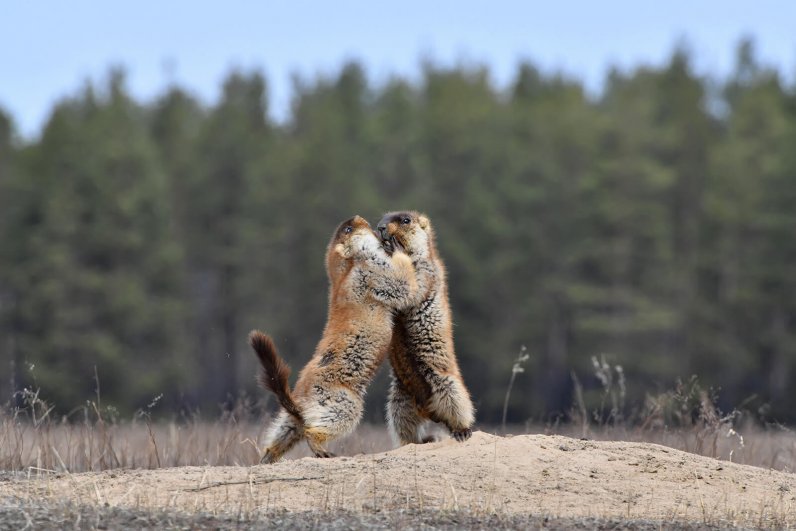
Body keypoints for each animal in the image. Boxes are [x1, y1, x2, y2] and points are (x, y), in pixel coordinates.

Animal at [252, 214, 420, 464]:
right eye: (348, 229)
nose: (357, 216)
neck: (344, 268)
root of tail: (299, 401)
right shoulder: (370, 271)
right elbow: (398, 282)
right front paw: (397, 248)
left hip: (289, 420)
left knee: (284, 433)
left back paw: (267, 457)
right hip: (343, 404)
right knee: (313, 430)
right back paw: (322, 450)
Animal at [376, 210, 476, 446]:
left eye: (405, 220)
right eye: (382, 217)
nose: (380, 227)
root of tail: (431, 412)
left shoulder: (425, 269)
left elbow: (412, 285)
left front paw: (394, 248)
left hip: (447, 384)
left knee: (458, 406)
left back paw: (463, 430)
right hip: (399, 400)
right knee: (404, 425)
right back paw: (416, 441)